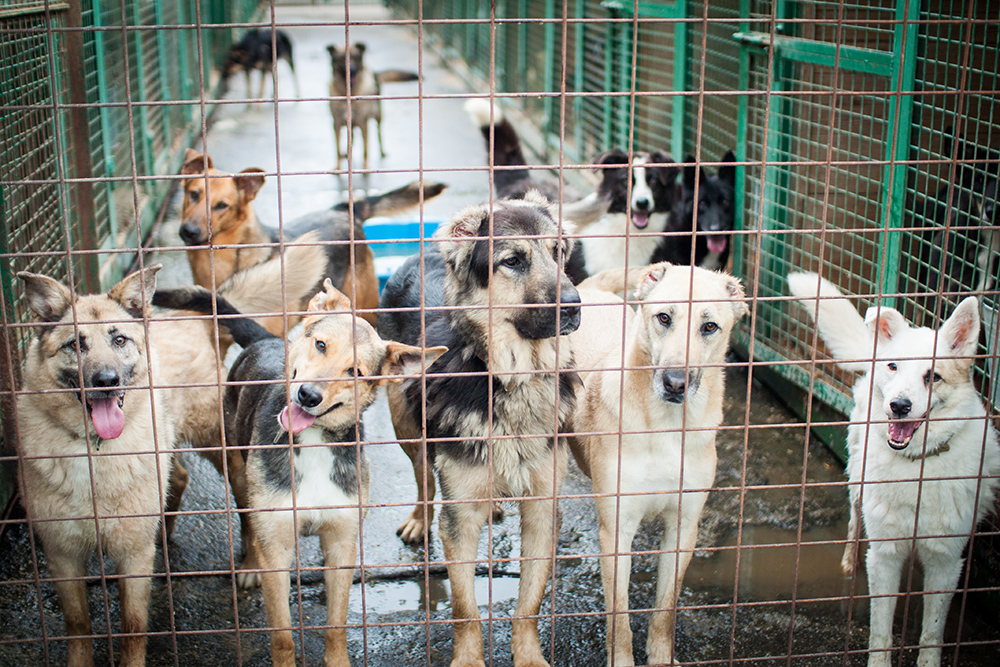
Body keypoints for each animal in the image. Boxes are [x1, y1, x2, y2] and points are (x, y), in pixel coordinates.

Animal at [215, 280, 442, 667]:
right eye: (321, 345)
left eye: (355, 372)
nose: (308, 395)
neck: (315, 440)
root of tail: (269, 340)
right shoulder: (277, 549)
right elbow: (282, 635)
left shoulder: (341, 544)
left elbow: (336, 623)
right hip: (239, 474)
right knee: (246, 520)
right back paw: (249, 564)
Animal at [330, 42, 420, 170]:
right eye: (342, 58)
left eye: (356, 58)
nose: (352, 70)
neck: (349, 92)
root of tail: (376, 73)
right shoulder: (336, 124)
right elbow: (337, 149)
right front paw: (338, 167)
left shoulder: (363, 123)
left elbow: (365, 150)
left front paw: (365, 168)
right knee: (351, 138)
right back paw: (348, 154)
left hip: (378, 116)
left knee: (379, 135)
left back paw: (382, 152)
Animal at [378, 192, 584, 667]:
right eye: (512, 261)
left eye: (558, 253)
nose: (574, 305)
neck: (511, 379)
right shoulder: (459, 524)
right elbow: (464, 607)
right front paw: (469, 659)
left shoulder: (543, 509)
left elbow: (529, 602)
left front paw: (529, 657)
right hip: (406, 428)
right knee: (424, 478)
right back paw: (419, 519)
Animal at [568, 264, 748, 667]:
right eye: (664, 317)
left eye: (709, 326)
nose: (675, 383)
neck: (667, 427)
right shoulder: (616, 534)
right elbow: (619, 616)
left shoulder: (683, 528)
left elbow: (666, 607)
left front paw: (661, 657)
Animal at [788, 272, 1000, 667]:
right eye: (894, 367)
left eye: (933, 376)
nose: (899, 406)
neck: (917, 467)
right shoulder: (885, 556)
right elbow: (880, 632)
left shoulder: (946, 561)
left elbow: (932, 634)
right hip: (858, 484)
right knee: (854, 524)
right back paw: (848, 562)